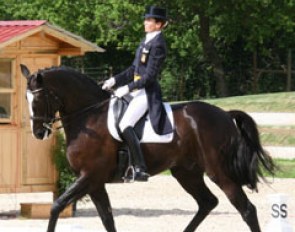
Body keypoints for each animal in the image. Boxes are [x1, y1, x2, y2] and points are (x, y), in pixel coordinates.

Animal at [20, 64, 276, 232]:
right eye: (26, 100)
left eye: (38, 99)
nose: (38, 133)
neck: (89, 116)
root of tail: (224, 114)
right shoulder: (94, 183)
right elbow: (107, 219)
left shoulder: (89, 176)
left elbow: (56, 206)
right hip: (187, 172)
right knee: (207, 202)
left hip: (219, 172)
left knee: (246, 209)